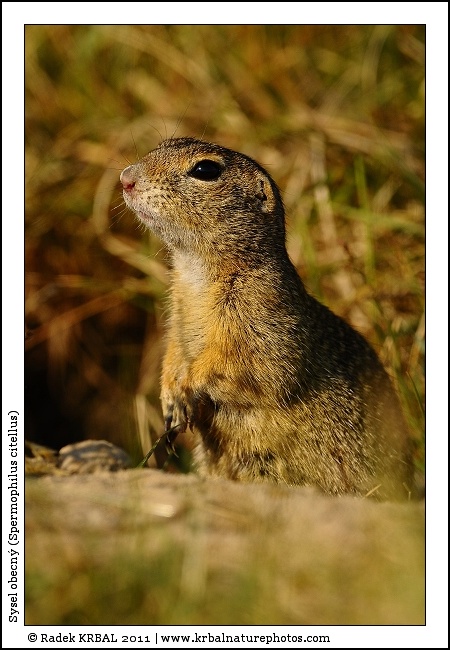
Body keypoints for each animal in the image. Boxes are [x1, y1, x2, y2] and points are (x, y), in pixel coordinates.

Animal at [120, 137, 414, 500]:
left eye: (205, 169)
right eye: (163, 144)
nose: (126, 178)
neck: (197, 273)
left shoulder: (261, 316)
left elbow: (239, 364)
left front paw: (188, 388)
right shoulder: (176, 320)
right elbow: (173, 354)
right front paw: (170, 397)